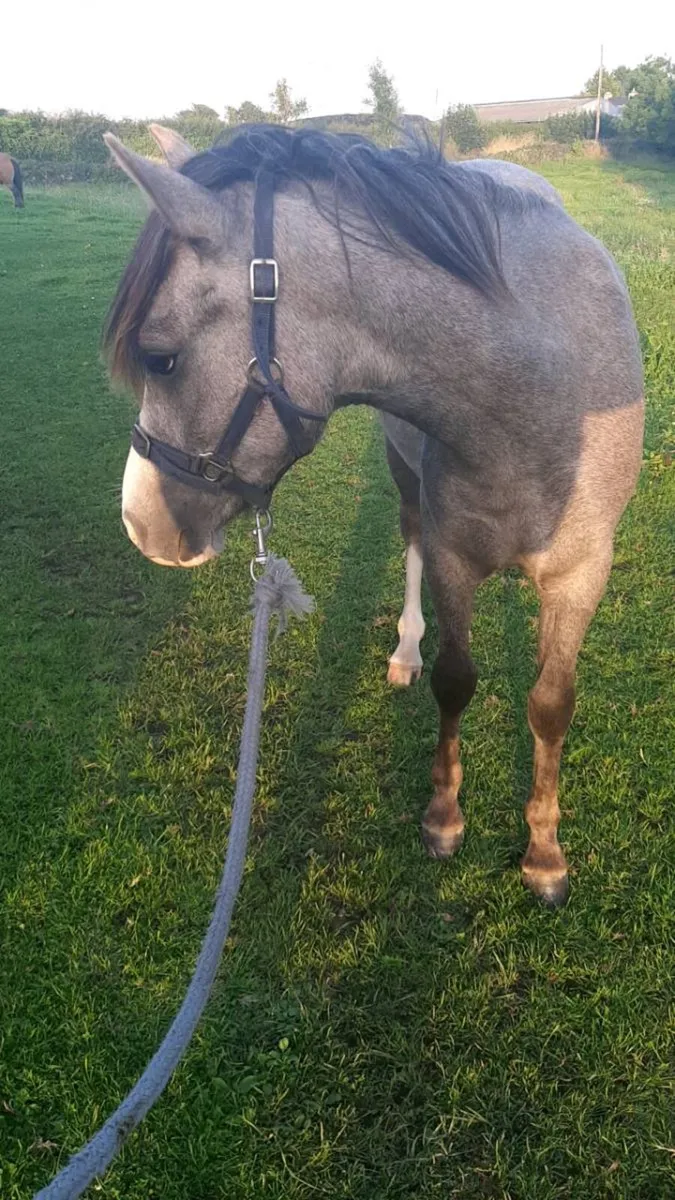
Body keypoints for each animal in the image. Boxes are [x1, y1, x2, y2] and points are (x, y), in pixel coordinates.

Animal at [103, 124, 644, 907]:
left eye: (161, 359)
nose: (140, 524)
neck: (537, 390)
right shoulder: (453, 555)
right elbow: (455, 679)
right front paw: (444, 817)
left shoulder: (581, 573)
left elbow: (550, 703)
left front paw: (544, 852)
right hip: (406, 479)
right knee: (409, 543)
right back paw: (405, 651)